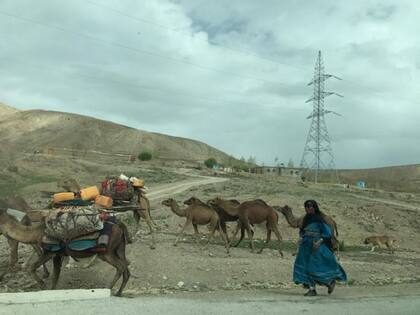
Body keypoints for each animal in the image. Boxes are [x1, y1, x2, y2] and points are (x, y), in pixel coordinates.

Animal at [0, 210, 130, 296]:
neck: (37, 233)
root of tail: (120, 225)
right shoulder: (59, 254)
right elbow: (55, 276)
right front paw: (50, 289)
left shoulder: (51, 251)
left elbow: (32, 268)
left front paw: (43, 285)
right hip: (119, 247)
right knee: (126, 267)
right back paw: (118, 293)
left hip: (106, 252)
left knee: (121, 266)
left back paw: (108, 289)